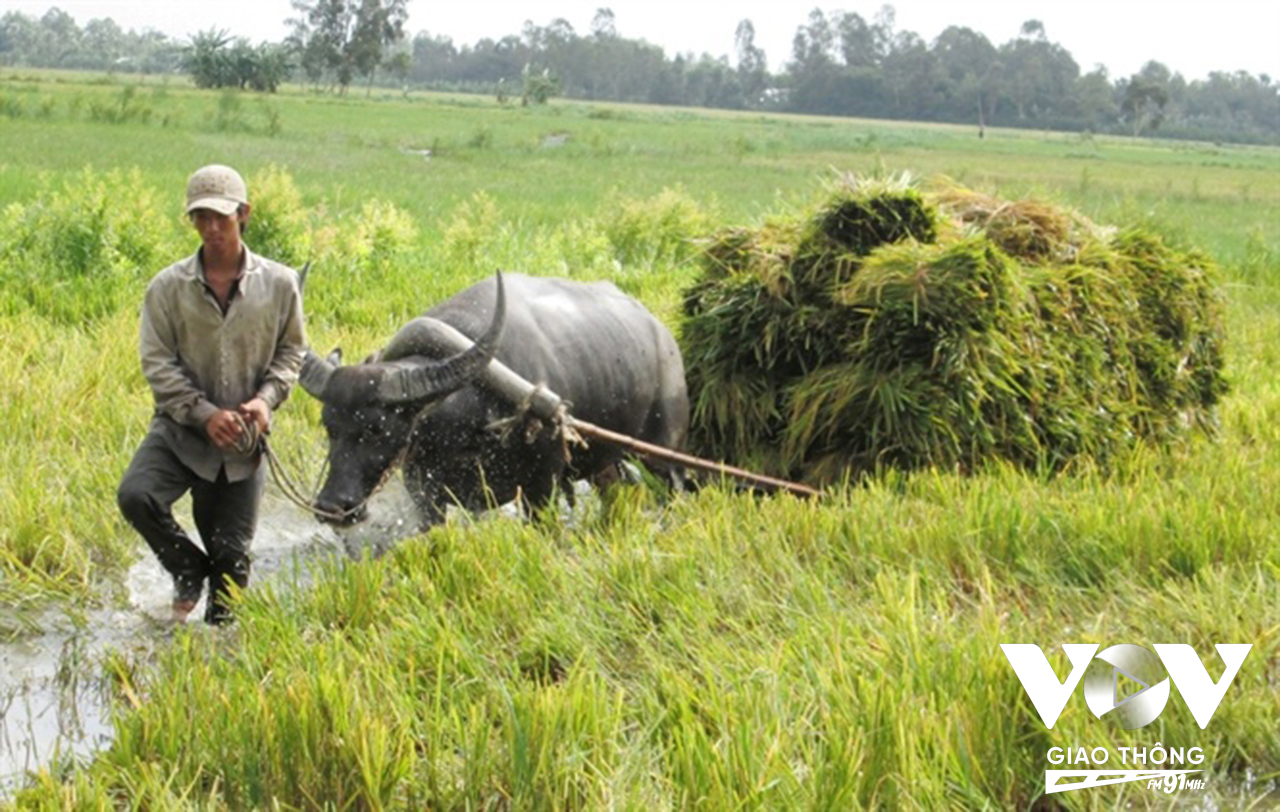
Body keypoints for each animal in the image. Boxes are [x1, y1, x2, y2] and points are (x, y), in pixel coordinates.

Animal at [296, 271, 691, 525]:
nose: (332, 507)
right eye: (329, 426)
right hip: (602, 462)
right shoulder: (424, 492)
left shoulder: (542, 485)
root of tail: (663, 336)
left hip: (663, 450)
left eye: (378, 428)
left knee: (676, 487)